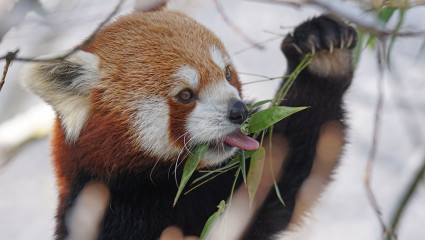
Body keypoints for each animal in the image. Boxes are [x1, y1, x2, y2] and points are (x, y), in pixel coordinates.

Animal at [21, 8, 356, 240]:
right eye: (185, 95)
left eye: (227, 73)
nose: (240, 111)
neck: (158, 189)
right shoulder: (101, 213)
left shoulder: (222, 192)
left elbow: (282, 172)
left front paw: (322, 53)